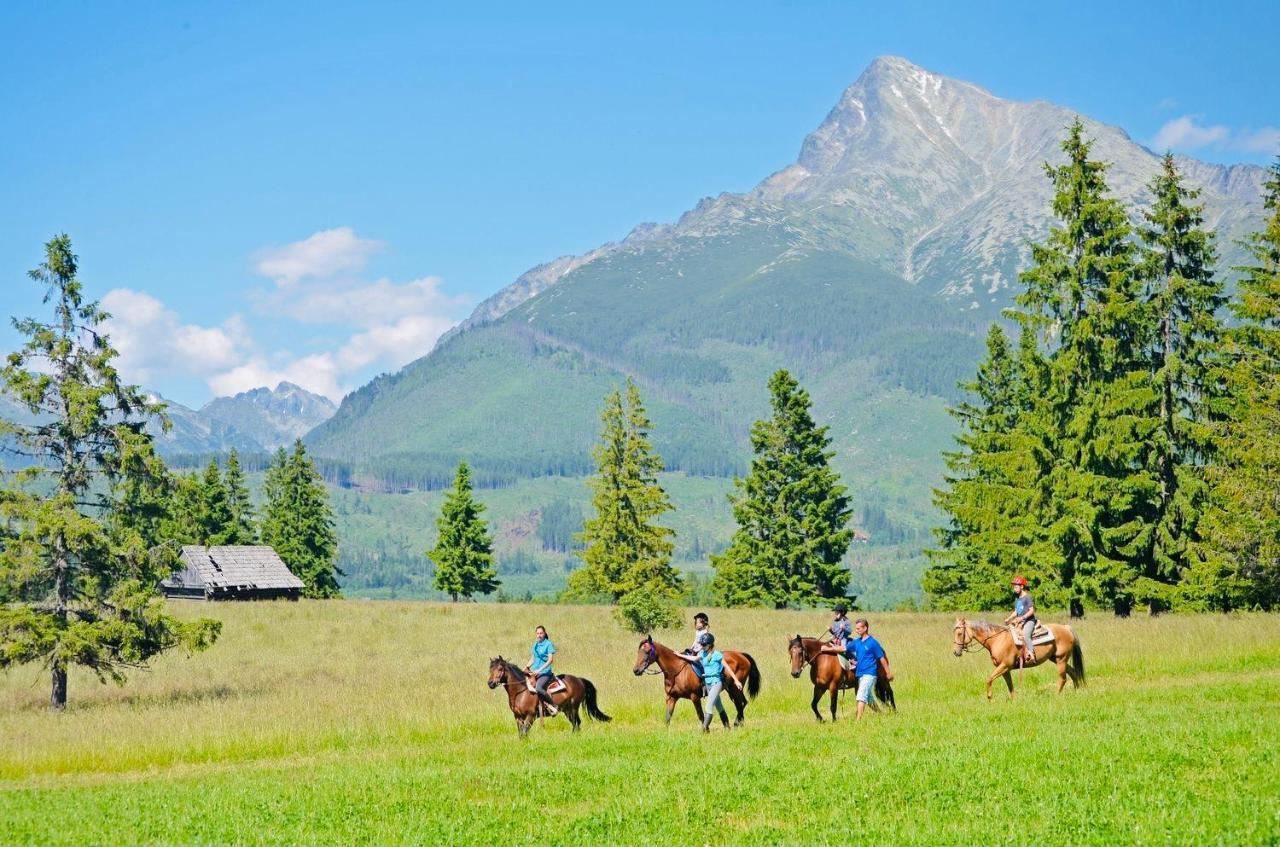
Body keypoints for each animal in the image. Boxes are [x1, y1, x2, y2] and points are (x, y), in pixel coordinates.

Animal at [629, 637, 757, 731]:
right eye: (638, 651)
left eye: (647, 652)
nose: (636, 670)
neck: (676, 671)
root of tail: (741, 655)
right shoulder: (671, 697)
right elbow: (668, 716)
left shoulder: (694, 697)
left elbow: (701, 715)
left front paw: (706, 731)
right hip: (732, 689)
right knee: (742, 703)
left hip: (734, 688)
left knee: (740, 704)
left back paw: (737, 724)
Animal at [957, 621, 1085, 701]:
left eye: (959, 633)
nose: (956, 652)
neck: (997, 639)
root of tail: (1066, 627)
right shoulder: (1005, 669)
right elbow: (1010, 685)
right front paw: (1014, 701)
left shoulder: (1004, 666)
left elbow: (989, 679)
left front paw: (989, 698)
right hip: (1056, 659)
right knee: (1073, 673)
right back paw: (1076, 692)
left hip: (1061, 659)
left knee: (1063, 678)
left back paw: (1056, 696)